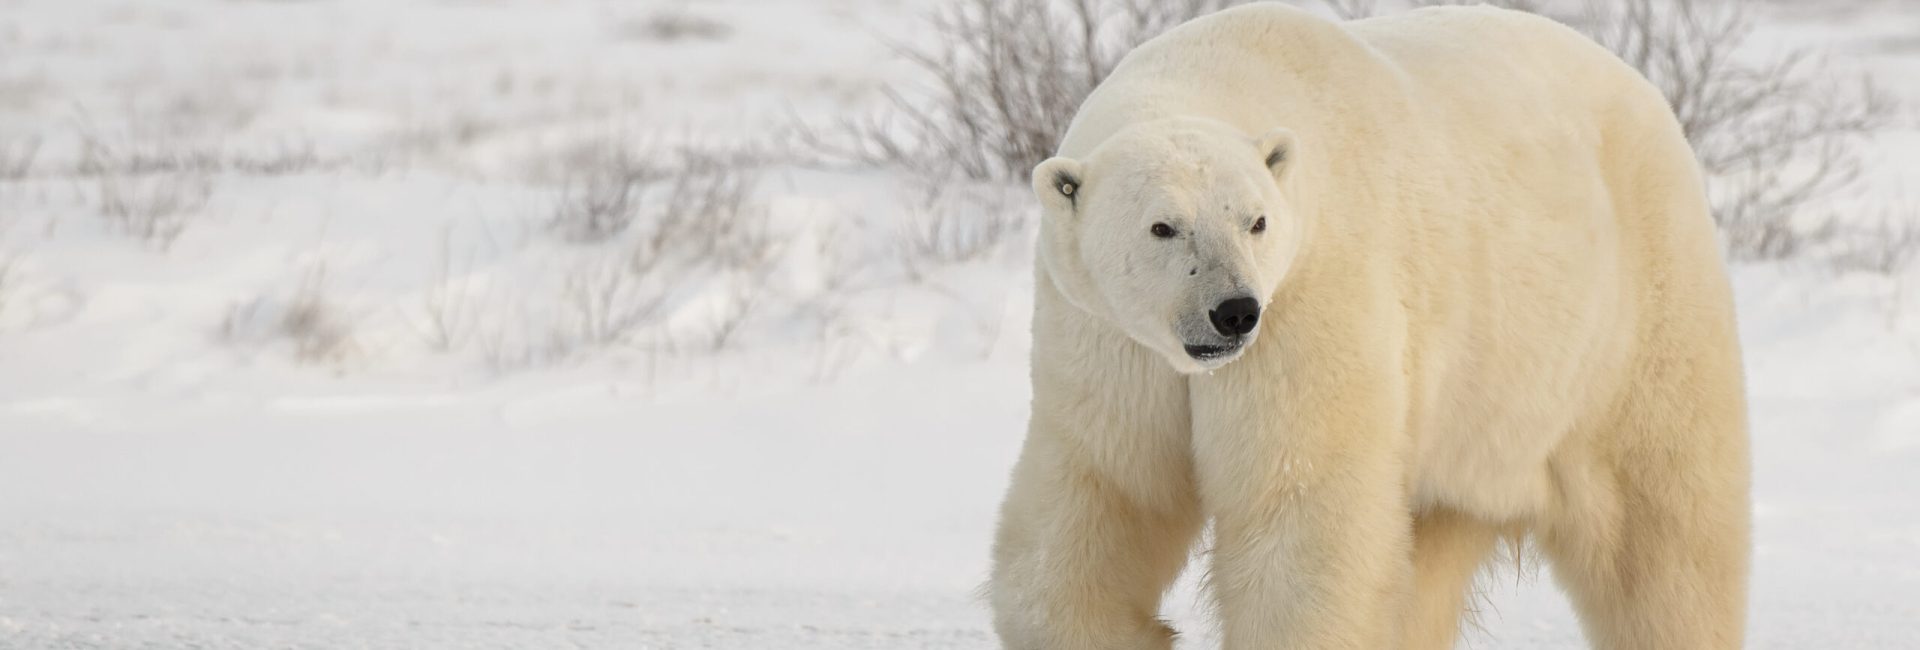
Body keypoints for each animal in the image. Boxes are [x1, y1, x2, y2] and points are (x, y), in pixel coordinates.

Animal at [990, 5, 1758, 650]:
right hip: (1472, 415)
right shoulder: (1108, 341)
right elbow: (1108, 490)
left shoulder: (1312, 296)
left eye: (1255, 221)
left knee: (1663, 534)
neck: (1215, 67)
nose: (1234, 311)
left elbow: (1300, 511)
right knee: (1432, 550)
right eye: (1163, 227)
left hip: (1632, 317)